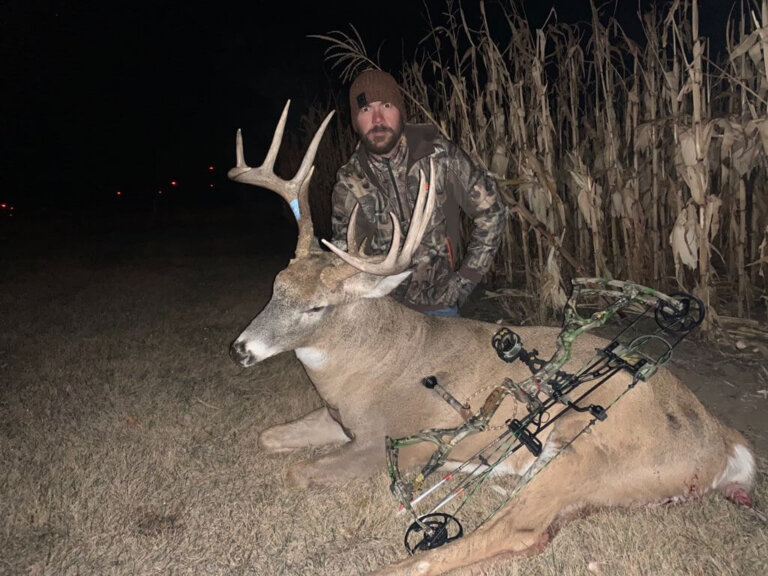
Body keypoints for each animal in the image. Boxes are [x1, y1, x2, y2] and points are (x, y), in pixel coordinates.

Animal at [227, 102, 756, 575]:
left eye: (317, 307)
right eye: (276, 285)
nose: (240, 350)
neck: (364, 369)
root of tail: (727, 445)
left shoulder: (388, 442)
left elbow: (298, 472)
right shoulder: (338, 420)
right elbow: (268, 436)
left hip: (585, 450)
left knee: (507, 533)